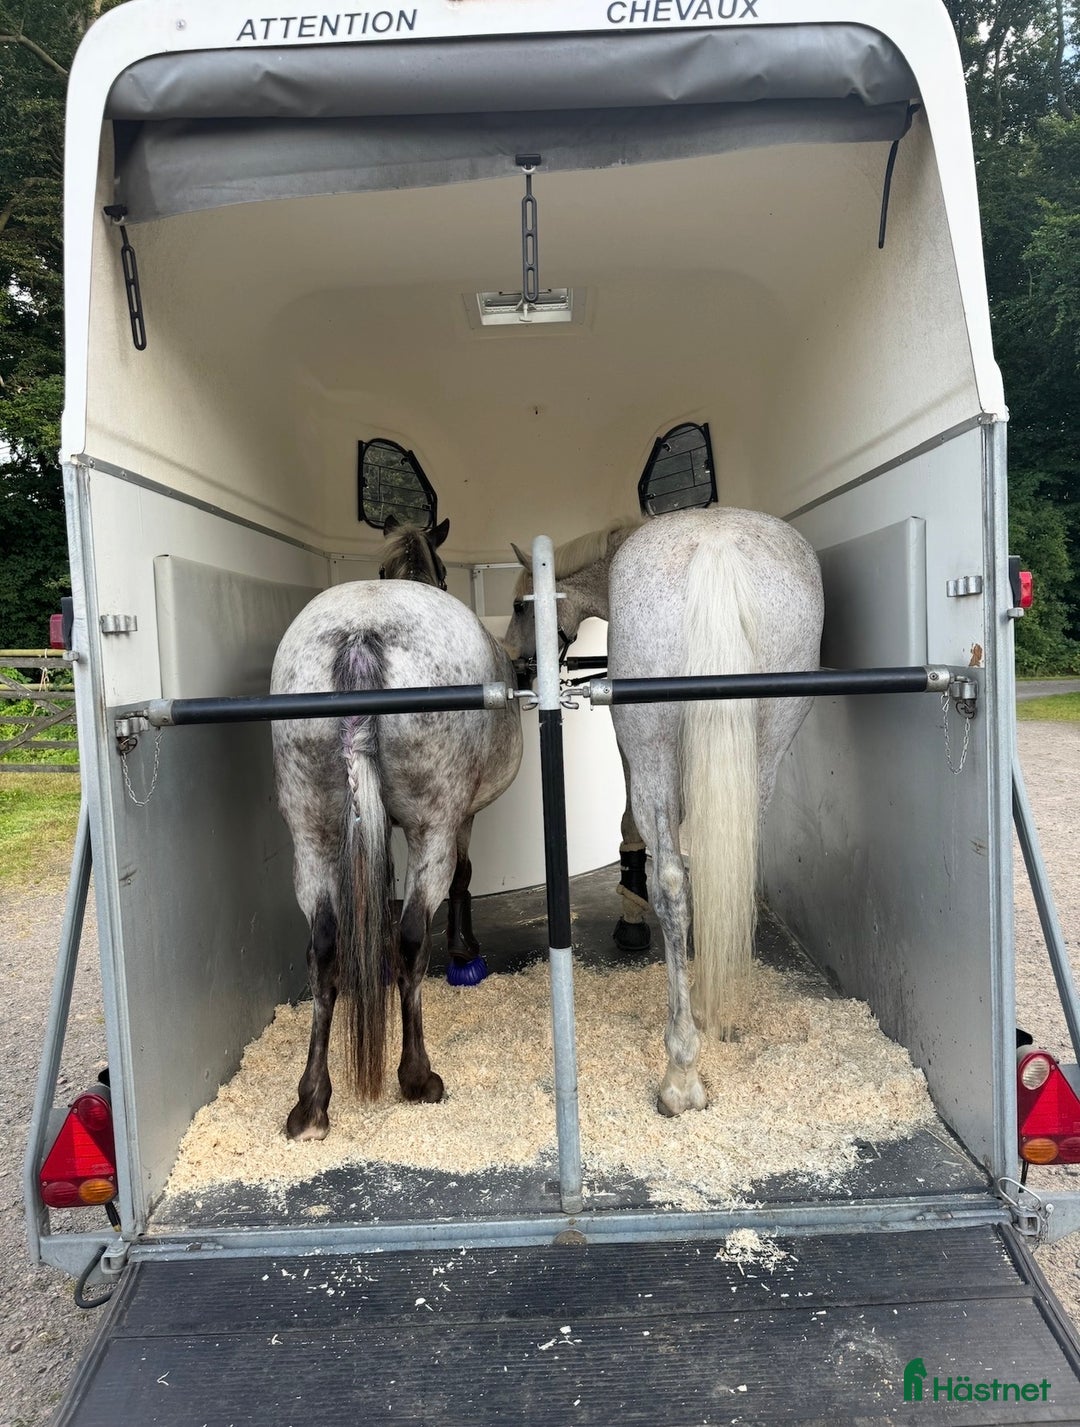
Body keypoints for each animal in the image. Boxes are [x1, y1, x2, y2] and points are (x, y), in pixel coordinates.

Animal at [271, 553, 522, 1140]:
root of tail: (361, 633)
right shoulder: (461, 816)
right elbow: (464, 877)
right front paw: (464, 951)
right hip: (432, 825)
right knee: (410, 940)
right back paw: (417, 1076)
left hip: (311, 830)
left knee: (323, 949)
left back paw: (311, 1104)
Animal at [503, 508, 823, 1118]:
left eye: (518, 606)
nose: (516, 665)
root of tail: (718, 546)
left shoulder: (633, 747)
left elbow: (638, 829)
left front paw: (630, 910)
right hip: (770, 740)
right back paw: (718, 1006)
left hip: (652, 742)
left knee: (673, 884)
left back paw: (680, 1070)